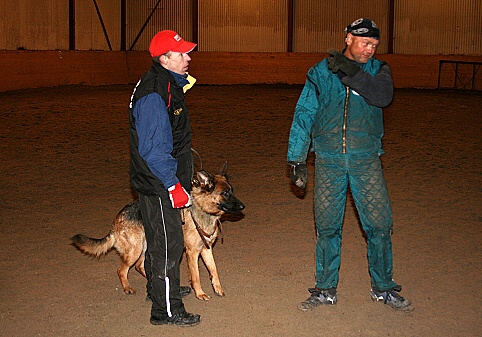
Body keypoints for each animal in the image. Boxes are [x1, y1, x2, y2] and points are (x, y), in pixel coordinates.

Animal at [70, 163, 245, 300]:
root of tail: (117, 219)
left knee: (139, 266)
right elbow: (196, 276)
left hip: (146, 247)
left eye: (232, 190)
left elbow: (214, 270)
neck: (202, 210)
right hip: (135, 250)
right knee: (121, 270)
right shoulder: (192, 253)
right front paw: (200, 293)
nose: (243, 206)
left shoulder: (206, 250)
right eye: (225, 193)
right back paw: (128, 288)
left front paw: (218, 288)